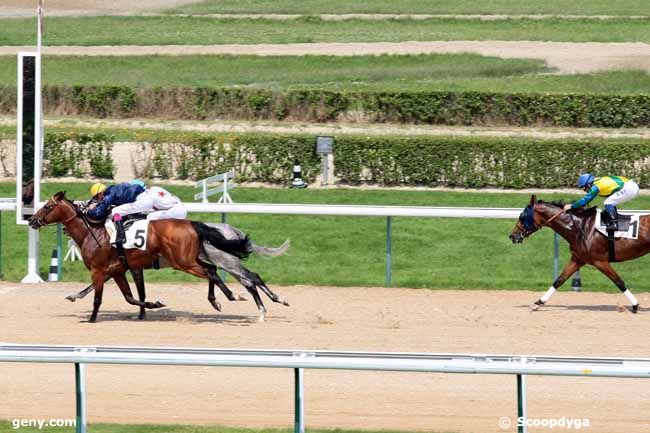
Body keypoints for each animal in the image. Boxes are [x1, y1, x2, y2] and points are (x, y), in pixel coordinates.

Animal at [29, 192, 288, 320]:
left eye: (48, 207)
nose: (32, 220)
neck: (95, 231)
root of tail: (196, 225)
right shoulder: (121, 268)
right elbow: (133, 296)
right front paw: (147, 309)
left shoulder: (101, 269)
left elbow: (100, 296)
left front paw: (91, 317)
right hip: (196, 260)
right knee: (233, 275)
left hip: (202, 262)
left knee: (238, 277)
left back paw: (245, 301)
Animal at [512, 194, 644, 312]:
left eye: (522, 216)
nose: (512, 236)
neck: (580, 227)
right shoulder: (578, 259)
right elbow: (560, 280)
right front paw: (538, 303)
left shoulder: (600, 261)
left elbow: (618, 281)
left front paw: (635, 305)